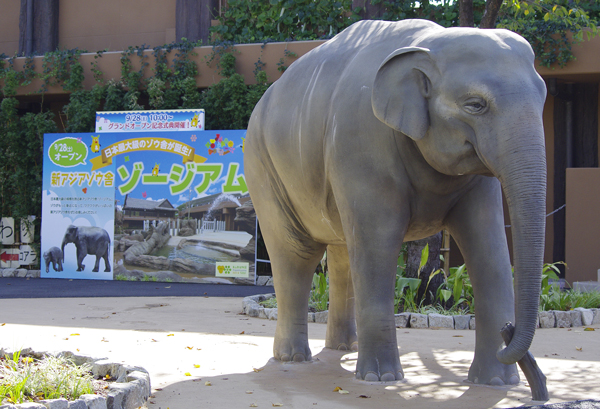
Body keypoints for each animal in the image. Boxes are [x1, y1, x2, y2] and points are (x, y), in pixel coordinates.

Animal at [244, 17, 548, 384]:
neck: (429, 41)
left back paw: (343, 348)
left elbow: (488, 247)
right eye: (475, 104)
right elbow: (378, 243)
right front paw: (382, 379)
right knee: (297, 254)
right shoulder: (361, 141)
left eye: (544, 98)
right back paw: (294, 358)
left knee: (343, 255)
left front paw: (497, 383)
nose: (508, 333)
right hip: (264, 168)